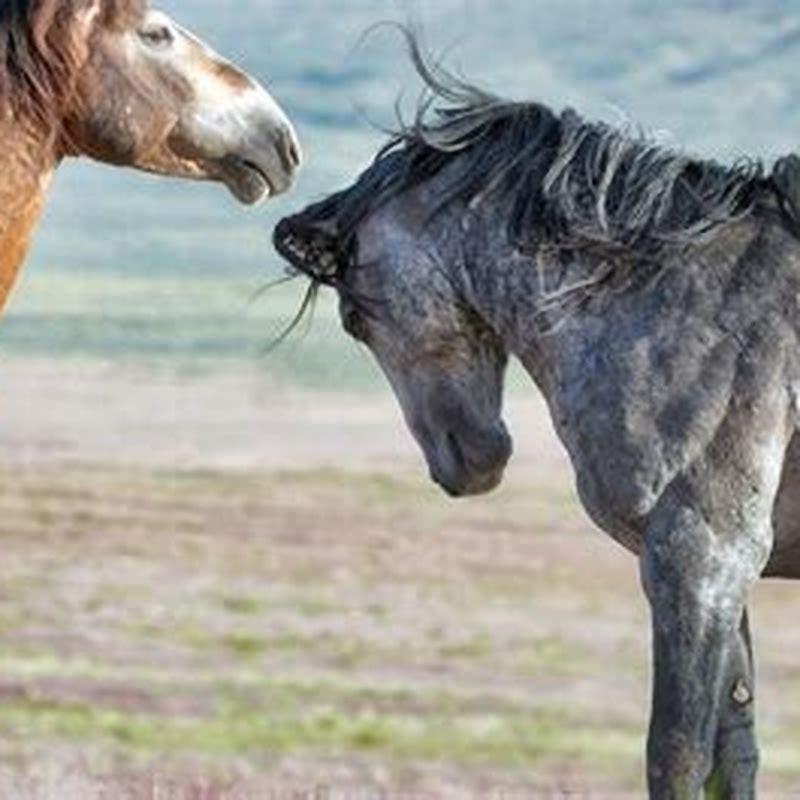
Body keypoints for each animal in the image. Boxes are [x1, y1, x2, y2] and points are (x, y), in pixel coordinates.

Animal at [274, 38, 800, 799]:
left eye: (353, 318)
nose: (462, 463)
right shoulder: (724, 580)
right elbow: (734, 759)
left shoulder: (701, 559)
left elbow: (676, 755)